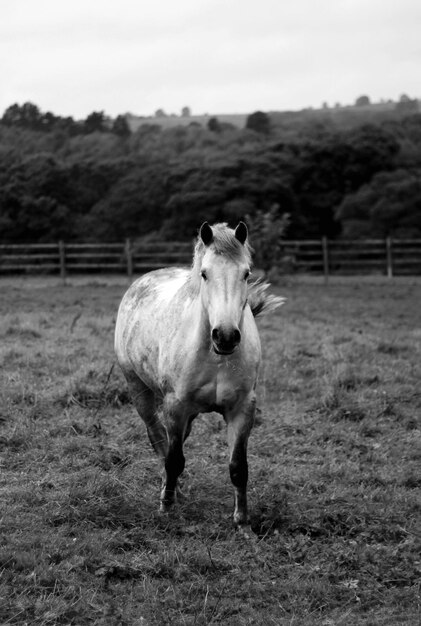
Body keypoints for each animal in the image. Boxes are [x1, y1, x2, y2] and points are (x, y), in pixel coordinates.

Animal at [113, 222, 284, 524]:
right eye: (204, 273)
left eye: (246, 273)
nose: (226, 336)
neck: (214, 356)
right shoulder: (175, 406)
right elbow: (173, 459)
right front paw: (166, 506)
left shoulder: (242, 409)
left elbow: (238, 467)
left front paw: (243, 522)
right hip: (139, 390)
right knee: (159, 439)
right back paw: (172, 491)